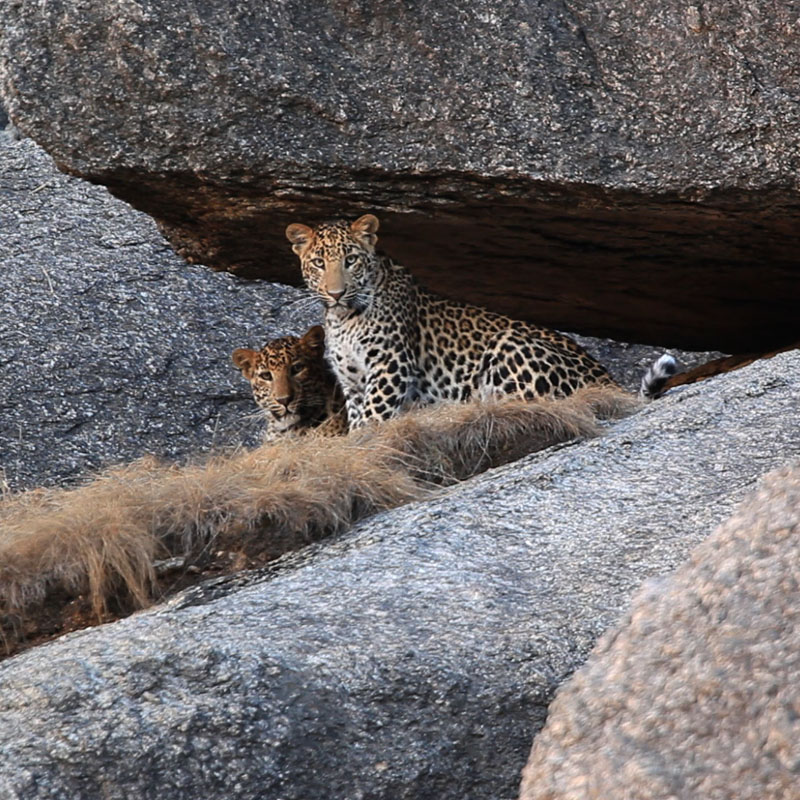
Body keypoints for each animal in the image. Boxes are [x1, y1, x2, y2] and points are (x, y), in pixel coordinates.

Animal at [286, 213, 676, 428]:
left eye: (350, 260)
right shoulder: (352, 383)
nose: (336, 292)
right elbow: (358, 420)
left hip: (511, 345)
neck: (343, 318)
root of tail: (612, 384)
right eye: (319, 262)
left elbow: (374, 417)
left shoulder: (390, 365)